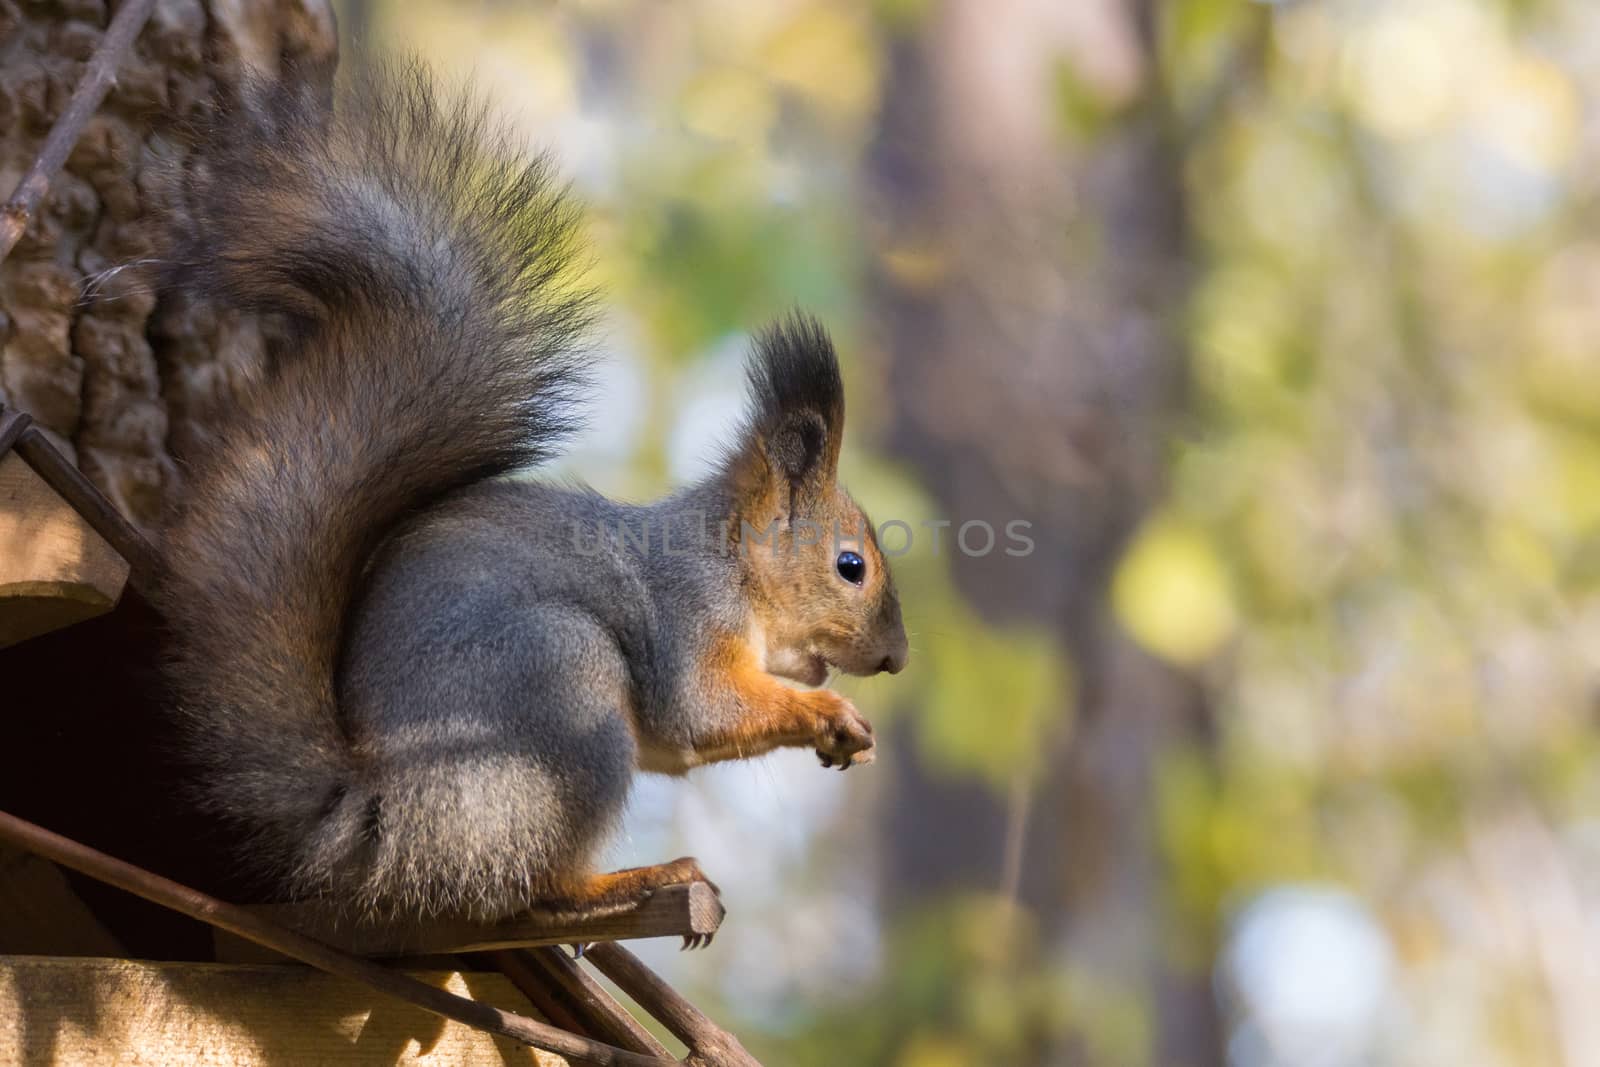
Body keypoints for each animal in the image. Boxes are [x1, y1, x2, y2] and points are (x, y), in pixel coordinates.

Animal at [154, 62, 908, 921]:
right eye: (850, 566)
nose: (895, 657)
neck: (732, 563)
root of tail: (386, 829)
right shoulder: (686, 615)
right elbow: (703, 710)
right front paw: (830, 714)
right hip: (561, 691)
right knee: (535, 887)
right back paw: (634, 878)